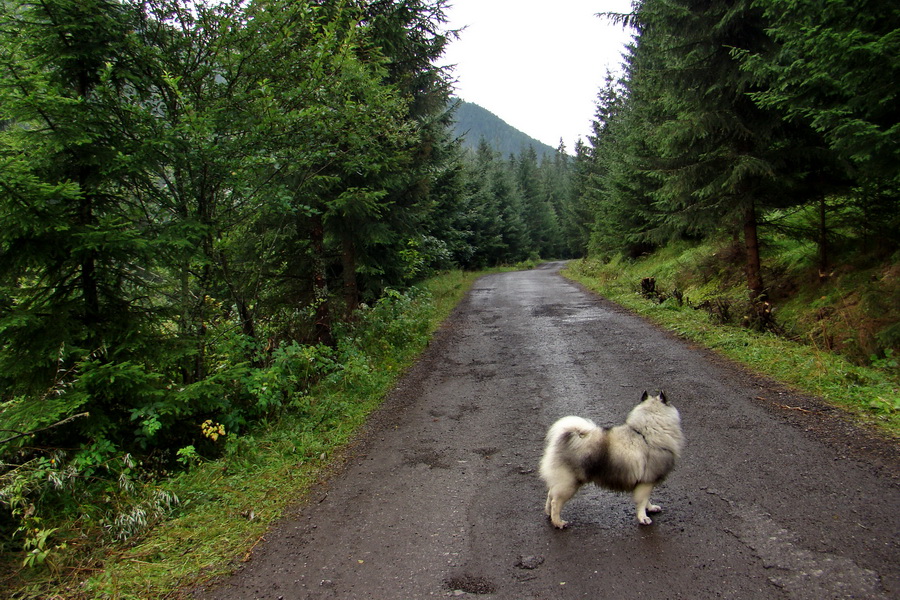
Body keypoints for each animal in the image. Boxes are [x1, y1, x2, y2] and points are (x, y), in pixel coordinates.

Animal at [536, 392, 684, 528]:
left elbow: (646, 499)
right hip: (569, 483)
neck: (644, 433)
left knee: (551, 495)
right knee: (556, 502)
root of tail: (563, 439)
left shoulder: (645, 482)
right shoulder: (646, 481)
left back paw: (549, 513)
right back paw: (558, 522)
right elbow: (642, 501)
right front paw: (643, 517)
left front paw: (651, 508)